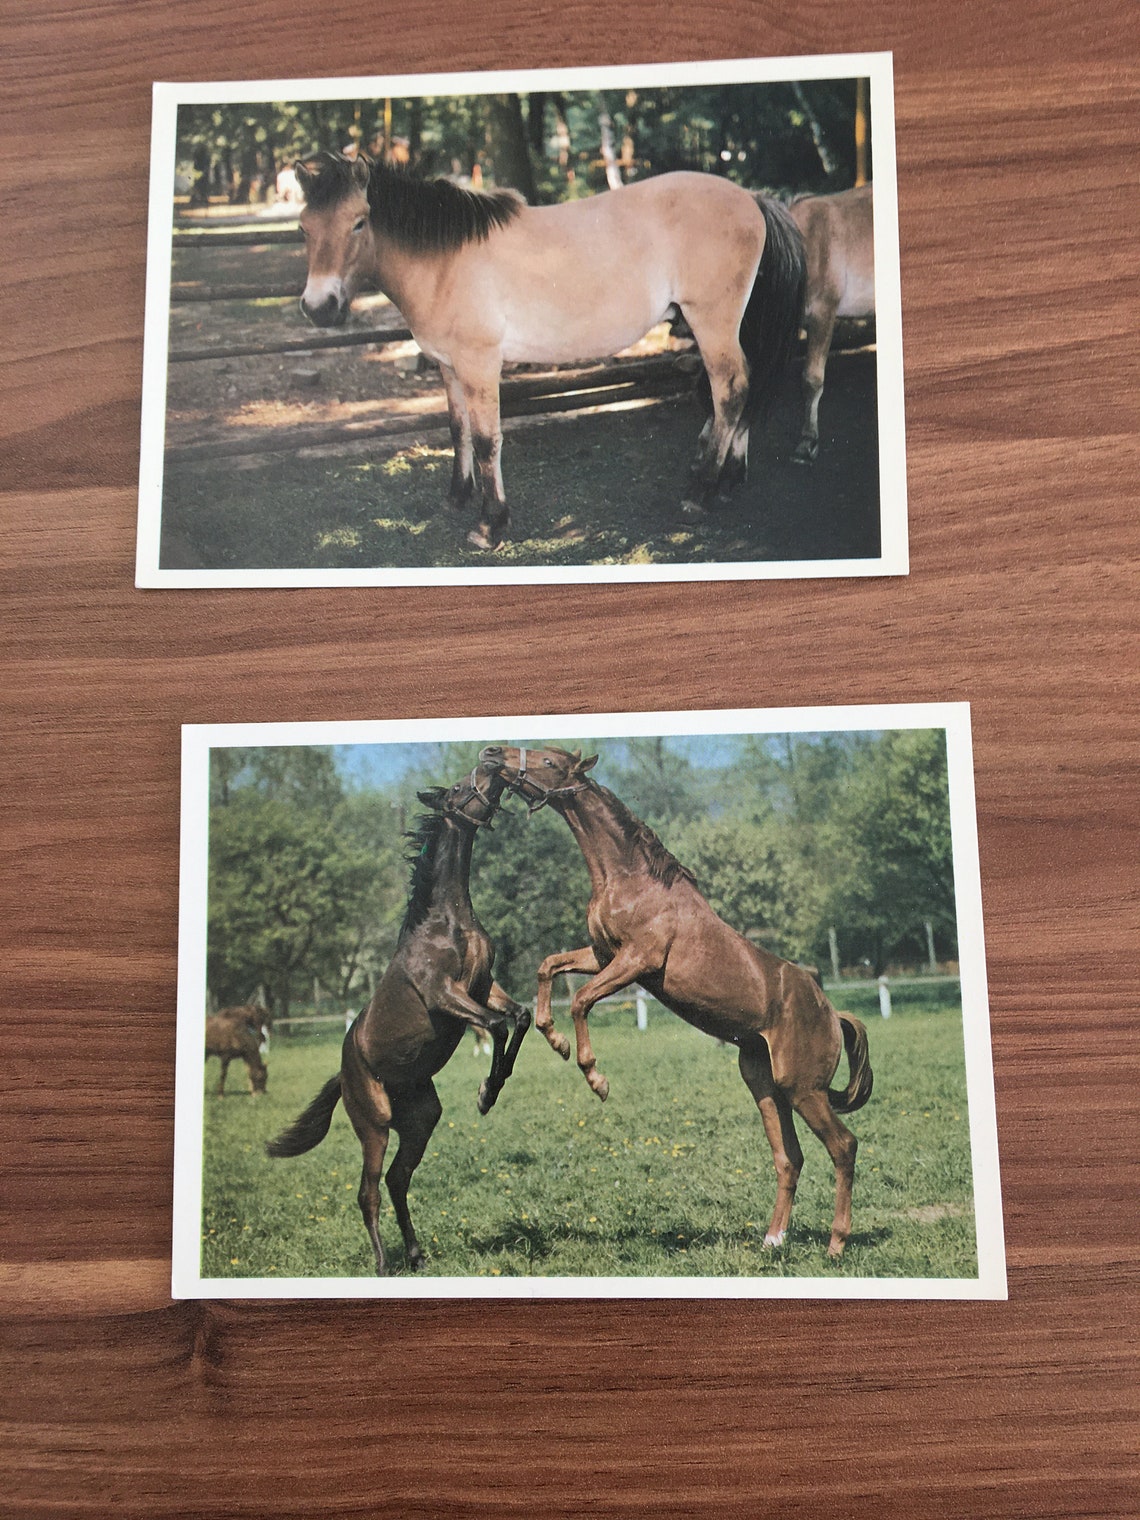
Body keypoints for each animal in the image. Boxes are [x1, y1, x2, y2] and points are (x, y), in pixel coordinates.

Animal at [266, 761, 530, 1275]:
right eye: (457, 788)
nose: (492, 763)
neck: (446, 922)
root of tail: (343, 1075)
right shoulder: (445, 994)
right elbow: (496, 1025)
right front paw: (487, 1093)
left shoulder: (486, 986)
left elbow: (521, 1016)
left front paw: (492, 1088)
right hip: (373, 1125)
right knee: (367, 1191)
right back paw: (384, 1263)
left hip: (421, 1121)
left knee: (396, 1180)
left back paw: (415, 1253)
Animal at [293, 151, 805, 550]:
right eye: (303, 228)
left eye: (359, 222)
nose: (319, 308)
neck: (445, 261)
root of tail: (752, 198)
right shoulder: (448, 366)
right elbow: (458, 430)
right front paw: (456, 497)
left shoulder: (480, 364)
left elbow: (486, 439)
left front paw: (489, 525)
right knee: (742, 386)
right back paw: (727, 479)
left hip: (712, 322)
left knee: (730, 389)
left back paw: (700, 492)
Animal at [479, 744, 873, 1259]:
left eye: (548, 762)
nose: (492, 755)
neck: (631, 881)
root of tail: (831, 1012)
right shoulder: (603, 955)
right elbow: (549, 967)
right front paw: (555, 1039)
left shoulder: (636, 961)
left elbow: (581, 1000)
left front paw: (595, 1077)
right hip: (765, 1087)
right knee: (790, 1158)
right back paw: (772, 1240)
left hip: (803, 1089)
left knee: (843, 1147)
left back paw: (835, 1244)